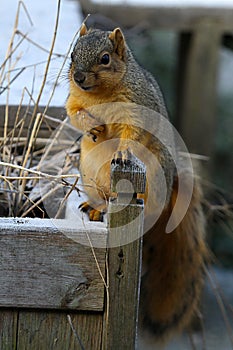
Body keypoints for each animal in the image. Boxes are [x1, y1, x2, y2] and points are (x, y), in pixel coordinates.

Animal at [65, 24, 208, 342]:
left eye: (105, 58)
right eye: (72, 55)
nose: (78, 77)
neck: (100, 95)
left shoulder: (137, 109)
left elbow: (131, 134)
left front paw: (121, 151)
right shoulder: (75, 100)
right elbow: (75, 115)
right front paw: (92, 127)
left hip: (153, 179)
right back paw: (95, 207)